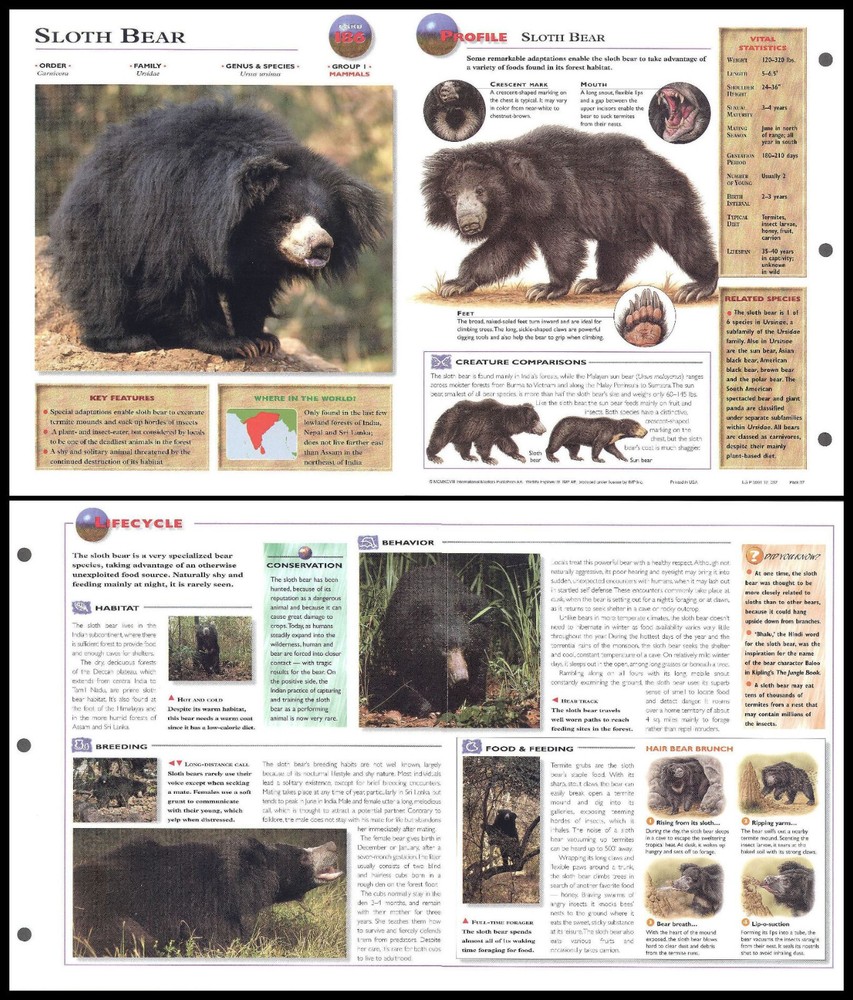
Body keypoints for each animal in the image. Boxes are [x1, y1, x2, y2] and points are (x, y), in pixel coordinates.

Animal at [50, 100, 383, 359]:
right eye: (287, 217)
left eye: (325, 220)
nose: (321, 245)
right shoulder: (173, 217)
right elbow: (176, 280)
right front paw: (231, 343)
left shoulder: (256, 253)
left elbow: (252, 285)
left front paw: (261, 339)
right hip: (101, 224)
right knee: (102, 283)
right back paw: (126, 338)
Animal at [73, 834, 343, 955]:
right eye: (301, 856)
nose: (332, 846)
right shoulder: (202, 907)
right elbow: (218, 940)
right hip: (101, 919)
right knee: (133, 939)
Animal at [375, 565, 491, 716]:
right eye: (444, 649)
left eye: (465, 647)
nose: (461, 678)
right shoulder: (404, 644)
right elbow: (410, 676)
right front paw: (427, 709)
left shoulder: (481, 637)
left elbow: (479, 665)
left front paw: (475, 700)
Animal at [422, 125, 717, 303]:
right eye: (453, 196)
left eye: (480, 191)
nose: (469, 223)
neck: (516, 192)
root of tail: (665, 163)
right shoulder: (517, 218)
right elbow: (503, 248)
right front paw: (456, 283)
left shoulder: (551, 199)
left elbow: (561, 243)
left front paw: (547, 288)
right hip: (622, 216)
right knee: (618, 250)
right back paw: (598, 282)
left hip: (657, 197)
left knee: (683, 236)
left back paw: (699, 285)